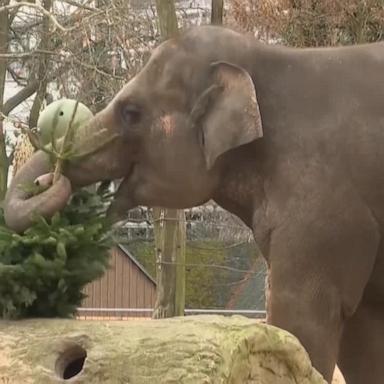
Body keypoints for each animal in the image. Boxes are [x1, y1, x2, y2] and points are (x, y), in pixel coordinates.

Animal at [3, 25, 384, 382]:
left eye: (131, 112)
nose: (45, 180)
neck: (267, 59)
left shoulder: (324, 204)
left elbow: (304, 315)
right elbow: (362, 329)